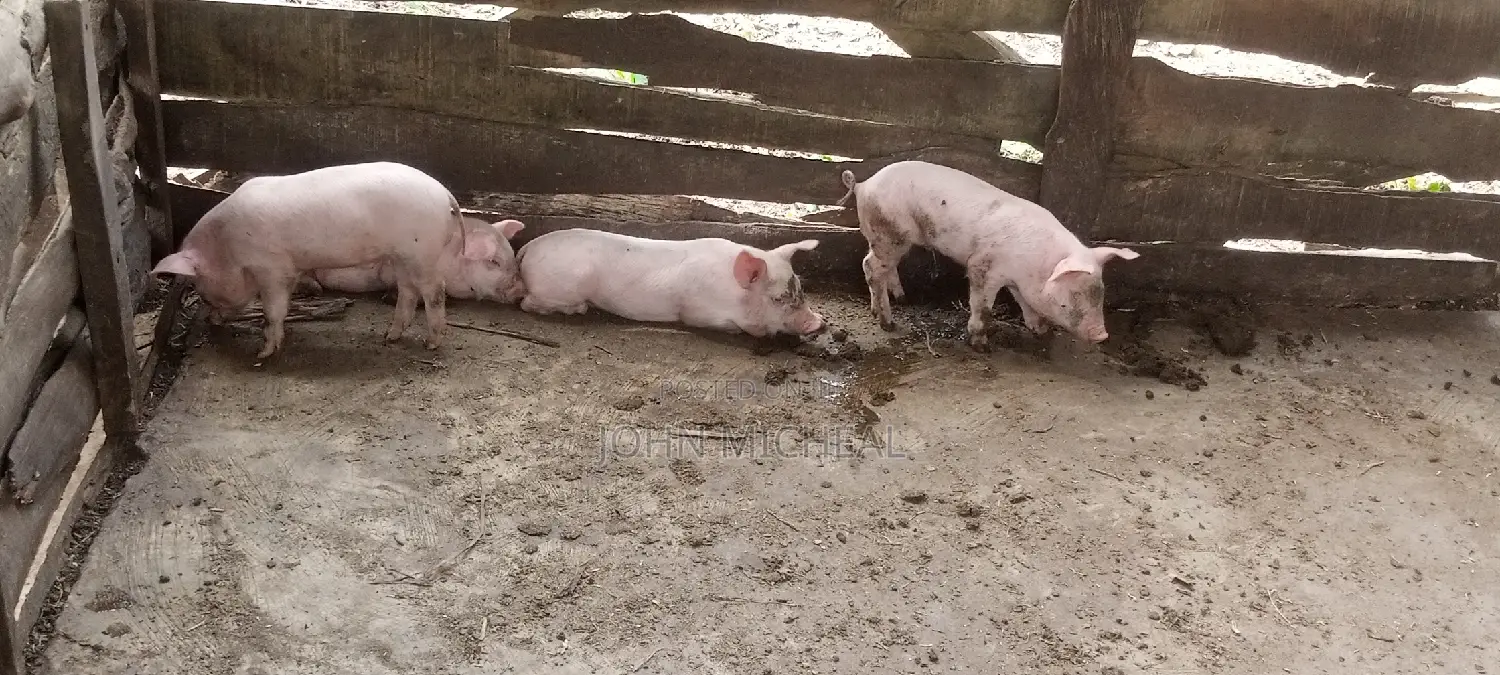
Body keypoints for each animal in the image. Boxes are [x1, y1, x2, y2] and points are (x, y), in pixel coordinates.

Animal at [150, 162, 493, 359]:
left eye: (204, 292)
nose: (211, 320)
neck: (228, 248)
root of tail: (446, 195)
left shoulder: (271, 267)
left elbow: (273, 311)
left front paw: (263, 353)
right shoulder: (286, 269)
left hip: (422, 252)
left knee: (435, 292)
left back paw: (430, 344)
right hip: (403, 256)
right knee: (408, 292)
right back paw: (389, 336)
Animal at [516, 229, 825, 337]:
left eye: (801, 290)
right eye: (778, 299)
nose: (819, 324)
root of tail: (529, 247)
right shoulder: (696, 312)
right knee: (526, 303)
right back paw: (579, 309)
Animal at [838, 160, 1138, 351]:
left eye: (1101, 294)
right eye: (1070, 299)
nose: (1101, 335)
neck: (1034, 266)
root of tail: (864, 185)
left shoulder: (1019, 283)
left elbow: (1027, 304)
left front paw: (1040, 332)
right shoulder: (982, 266)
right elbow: (982, 306)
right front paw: (982, 346)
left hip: (883, 237)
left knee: (881, 266)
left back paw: (898, 300)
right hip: (890, 233)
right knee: (870, 266)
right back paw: (888, 323)